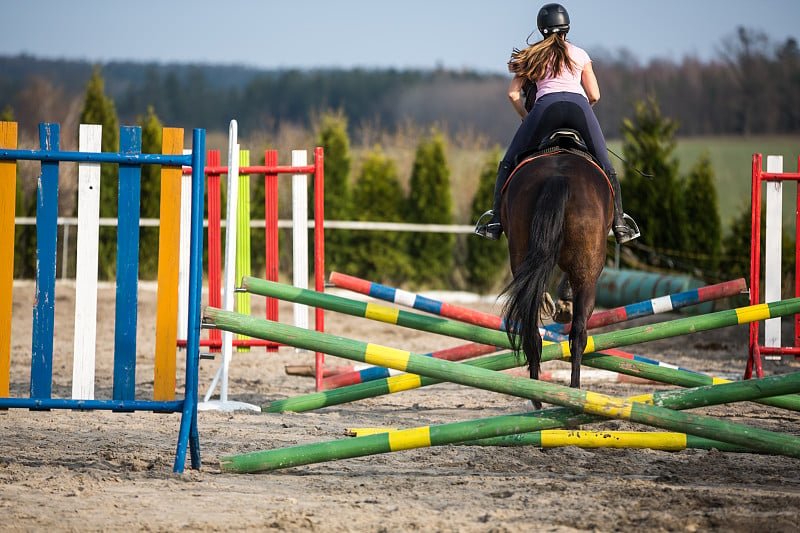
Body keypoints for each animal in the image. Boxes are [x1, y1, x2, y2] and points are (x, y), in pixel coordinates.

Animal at [500, 148, 612, 406]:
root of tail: (558, 176)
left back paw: (535, 395)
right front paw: (564, 304)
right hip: (588, 273)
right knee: (579, 333)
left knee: (531, 327)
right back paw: (575, 393)